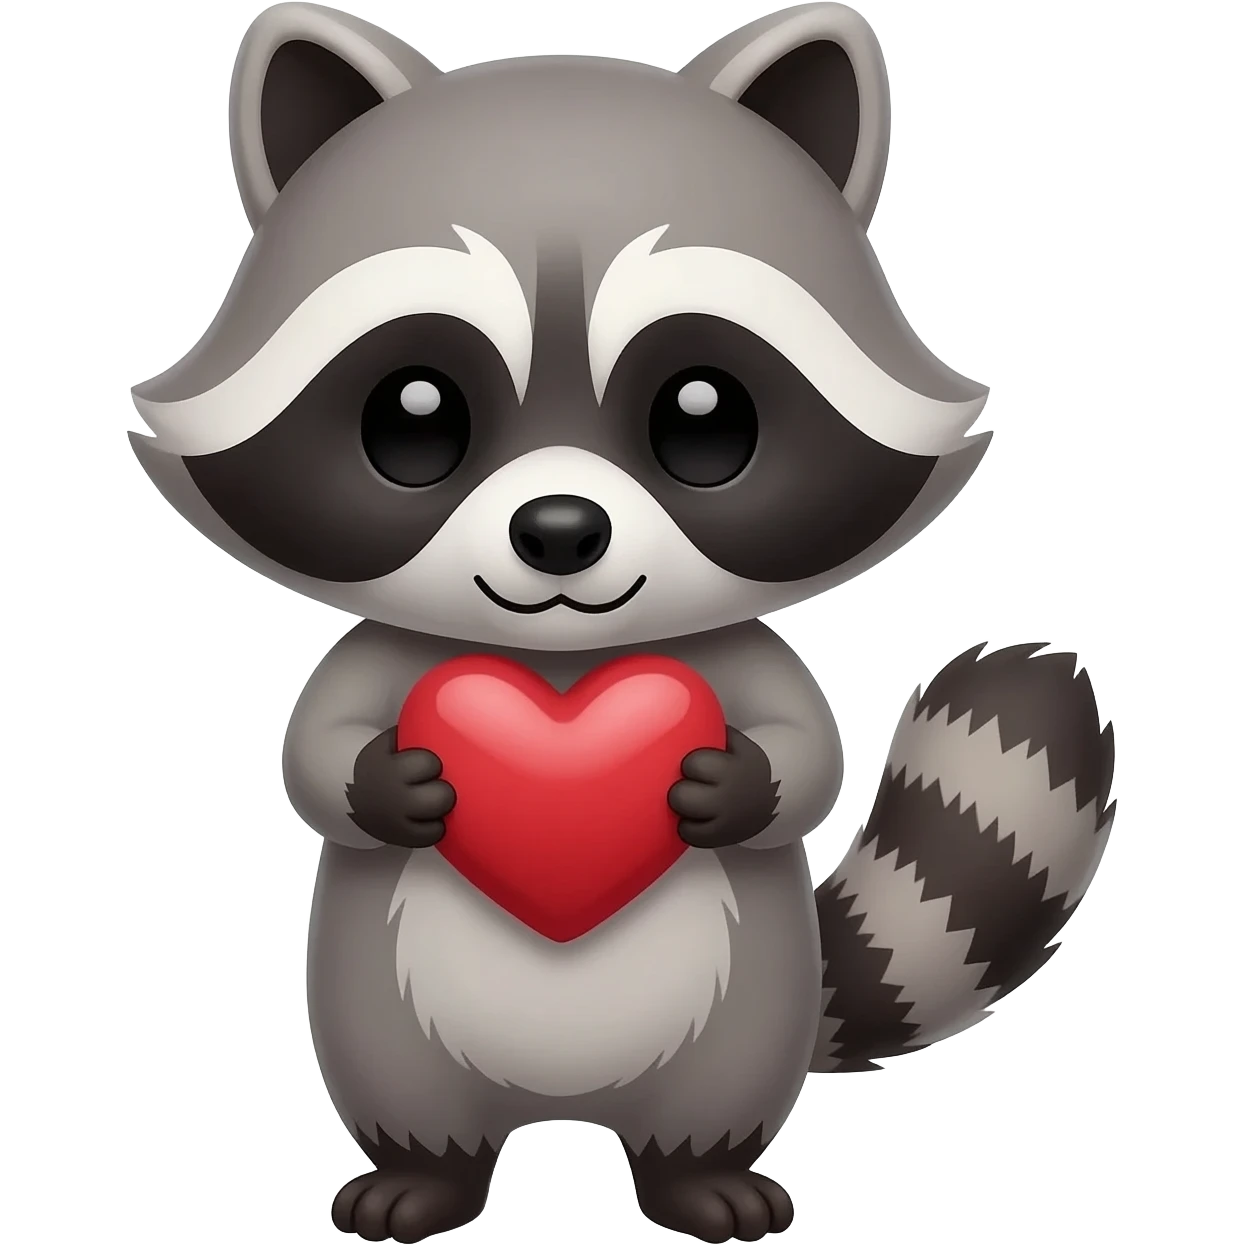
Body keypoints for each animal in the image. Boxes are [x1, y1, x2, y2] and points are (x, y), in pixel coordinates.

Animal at [127, 4, 1118, 1243]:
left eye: (704, 418)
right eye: (414, 418)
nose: (560, 532)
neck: (565, 666)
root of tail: (563, 1105)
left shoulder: (740, 661)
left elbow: (809, 751)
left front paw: (741, 783)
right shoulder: (383, 666)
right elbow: (312, 753)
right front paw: (382, 781)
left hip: (745, 1018)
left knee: (713, 1096)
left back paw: (700, 1173)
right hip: (380, 1018)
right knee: (405, 1088)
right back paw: (426, 1172)